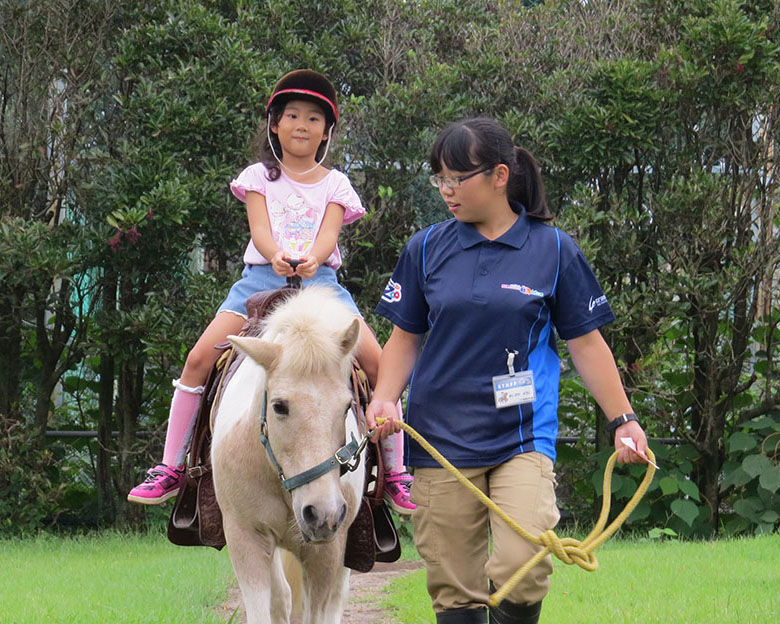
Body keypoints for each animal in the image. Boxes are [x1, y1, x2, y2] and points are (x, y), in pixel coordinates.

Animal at [212, 288, 368, 624]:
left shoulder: (326, 552)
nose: (322, 513)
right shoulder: (246, 537)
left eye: (347, 406)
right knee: (282, 596)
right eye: (279, 406)